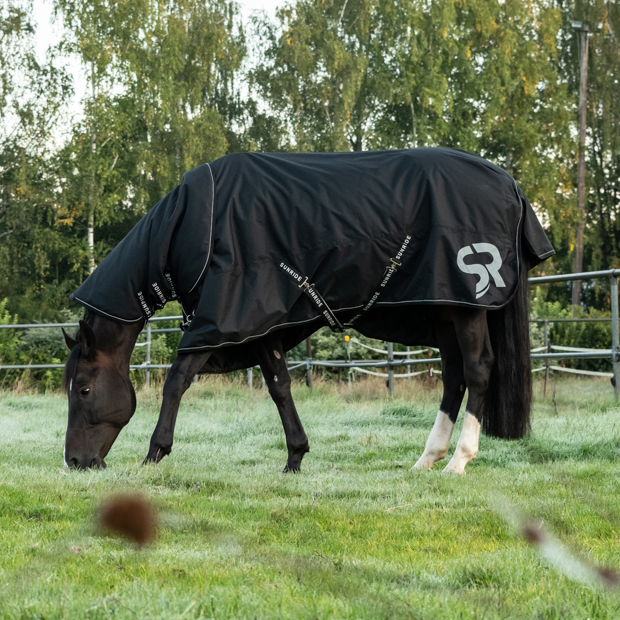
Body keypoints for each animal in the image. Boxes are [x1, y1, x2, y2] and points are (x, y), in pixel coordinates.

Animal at [60, 148, 556, 472]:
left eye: (82, 390)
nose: (76, 461)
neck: (199, 224)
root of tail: (510, 185)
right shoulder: (258, 326)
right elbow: (280, 387)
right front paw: (295, 456)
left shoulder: (223, 319)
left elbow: (177, 380)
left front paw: (155, 453)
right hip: (446, 309)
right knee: (454, 377)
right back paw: (426, 459)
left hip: (467, 306)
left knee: (477, 371)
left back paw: (458, 462)